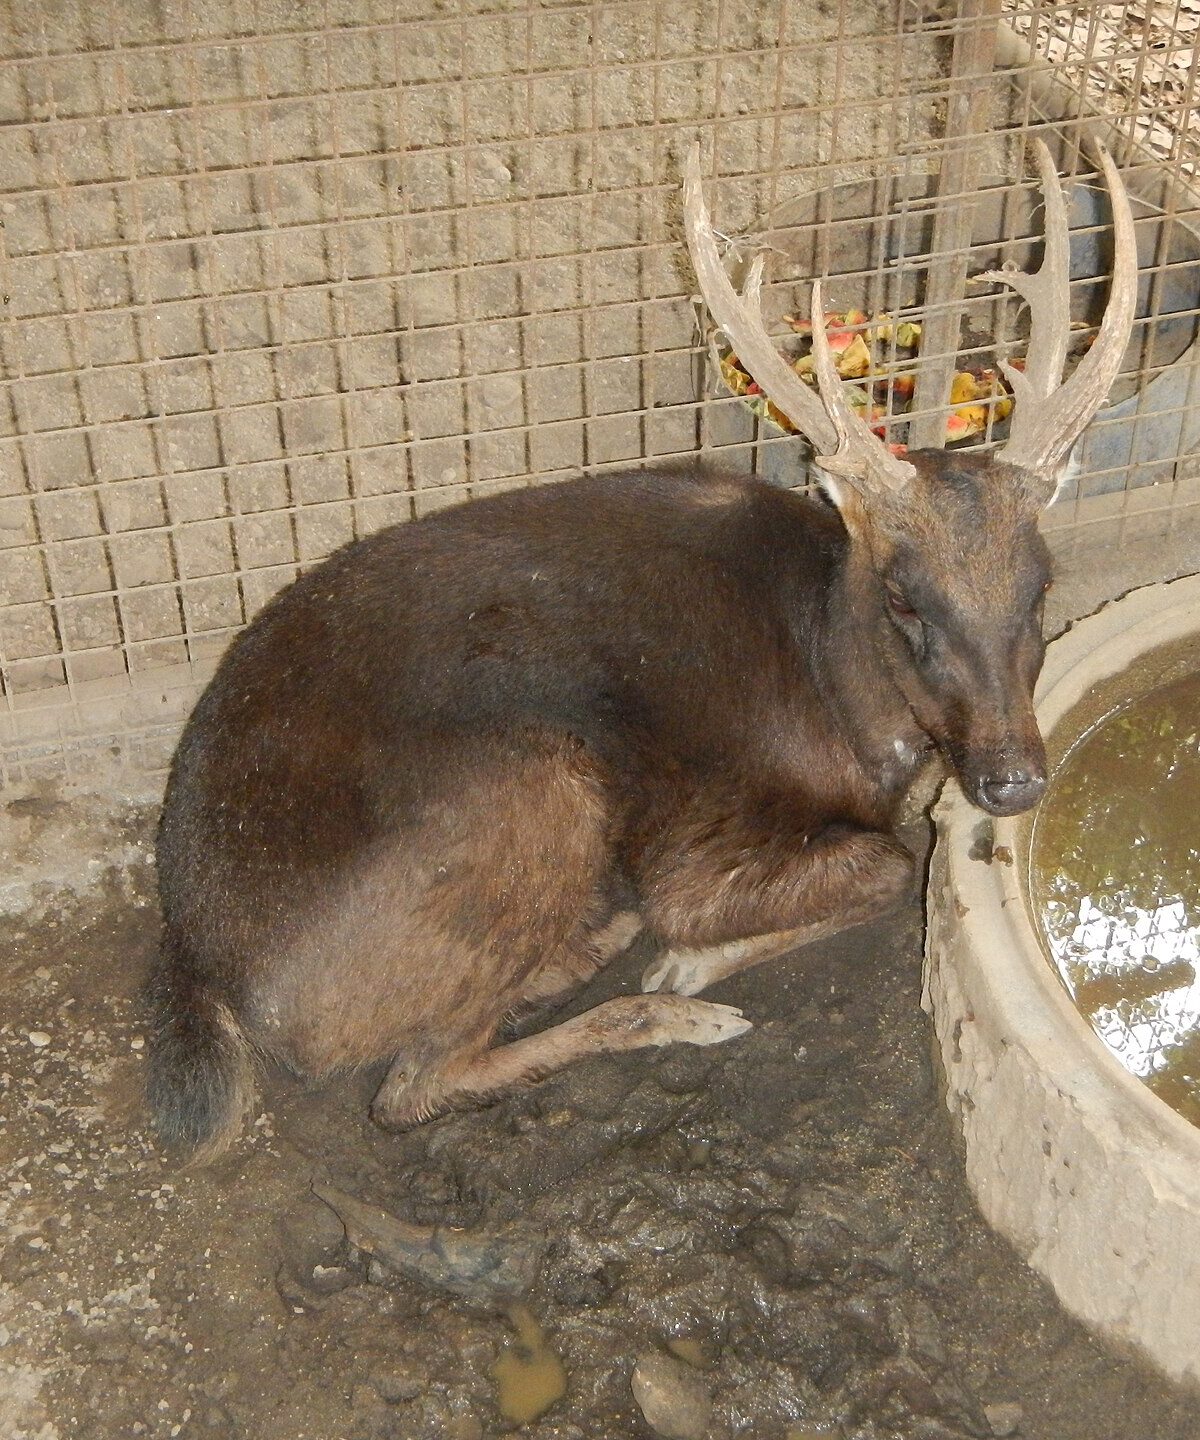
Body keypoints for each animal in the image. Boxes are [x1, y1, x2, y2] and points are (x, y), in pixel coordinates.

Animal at [147, 140, 1137, 1159]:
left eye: (1043, 583)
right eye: (905, 596)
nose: (1013, 780)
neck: (846, 703)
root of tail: (202, 968)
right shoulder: (700, 838)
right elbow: (881, 872)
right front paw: (692, 968)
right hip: (532, 789)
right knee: (412, 1086)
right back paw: (655, 1001)